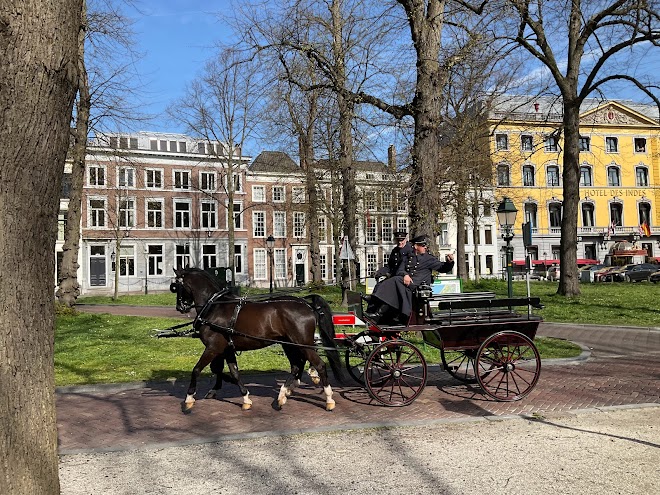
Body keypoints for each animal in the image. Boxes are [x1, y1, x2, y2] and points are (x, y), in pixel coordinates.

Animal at [170, 270, 342, 412]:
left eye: (176, 286)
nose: (180, 307)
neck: (215, 307)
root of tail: (307, 304)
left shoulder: (213, 348)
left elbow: (197, 370)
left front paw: (189, 399)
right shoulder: (227, 349)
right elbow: (233, 372)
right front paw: (245, 398)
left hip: (302, 344)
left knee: (319, 364)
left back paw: (328, 399)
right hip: (289, 344)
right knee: (296, 366)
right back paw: (283, 395)